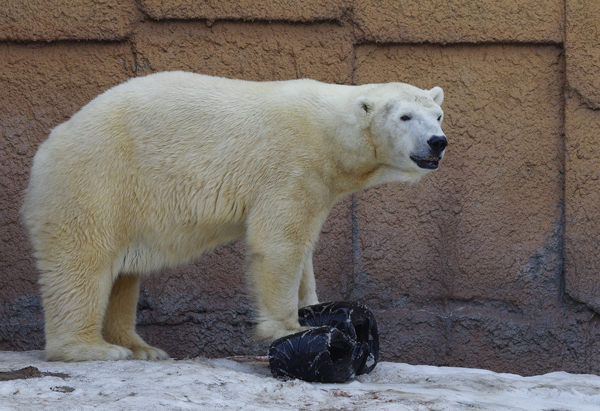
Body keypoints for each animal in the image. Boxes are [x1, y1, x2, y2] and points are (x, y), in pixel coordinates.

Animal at [19, 72, 446, 362]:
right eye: (406, 117)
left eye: (439, 115)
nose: (437, 142)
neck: (331, 132)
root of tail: (50, 143)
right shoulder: (292, 164)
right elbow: (279, 244)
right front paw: (291, 328)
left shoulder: (319, 181)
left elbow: (304, 249)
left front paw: (315, 307)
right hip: (96, 180)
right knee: (82, 263)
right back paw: (92, 348)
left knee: (123, 276)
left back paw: (141, 347)